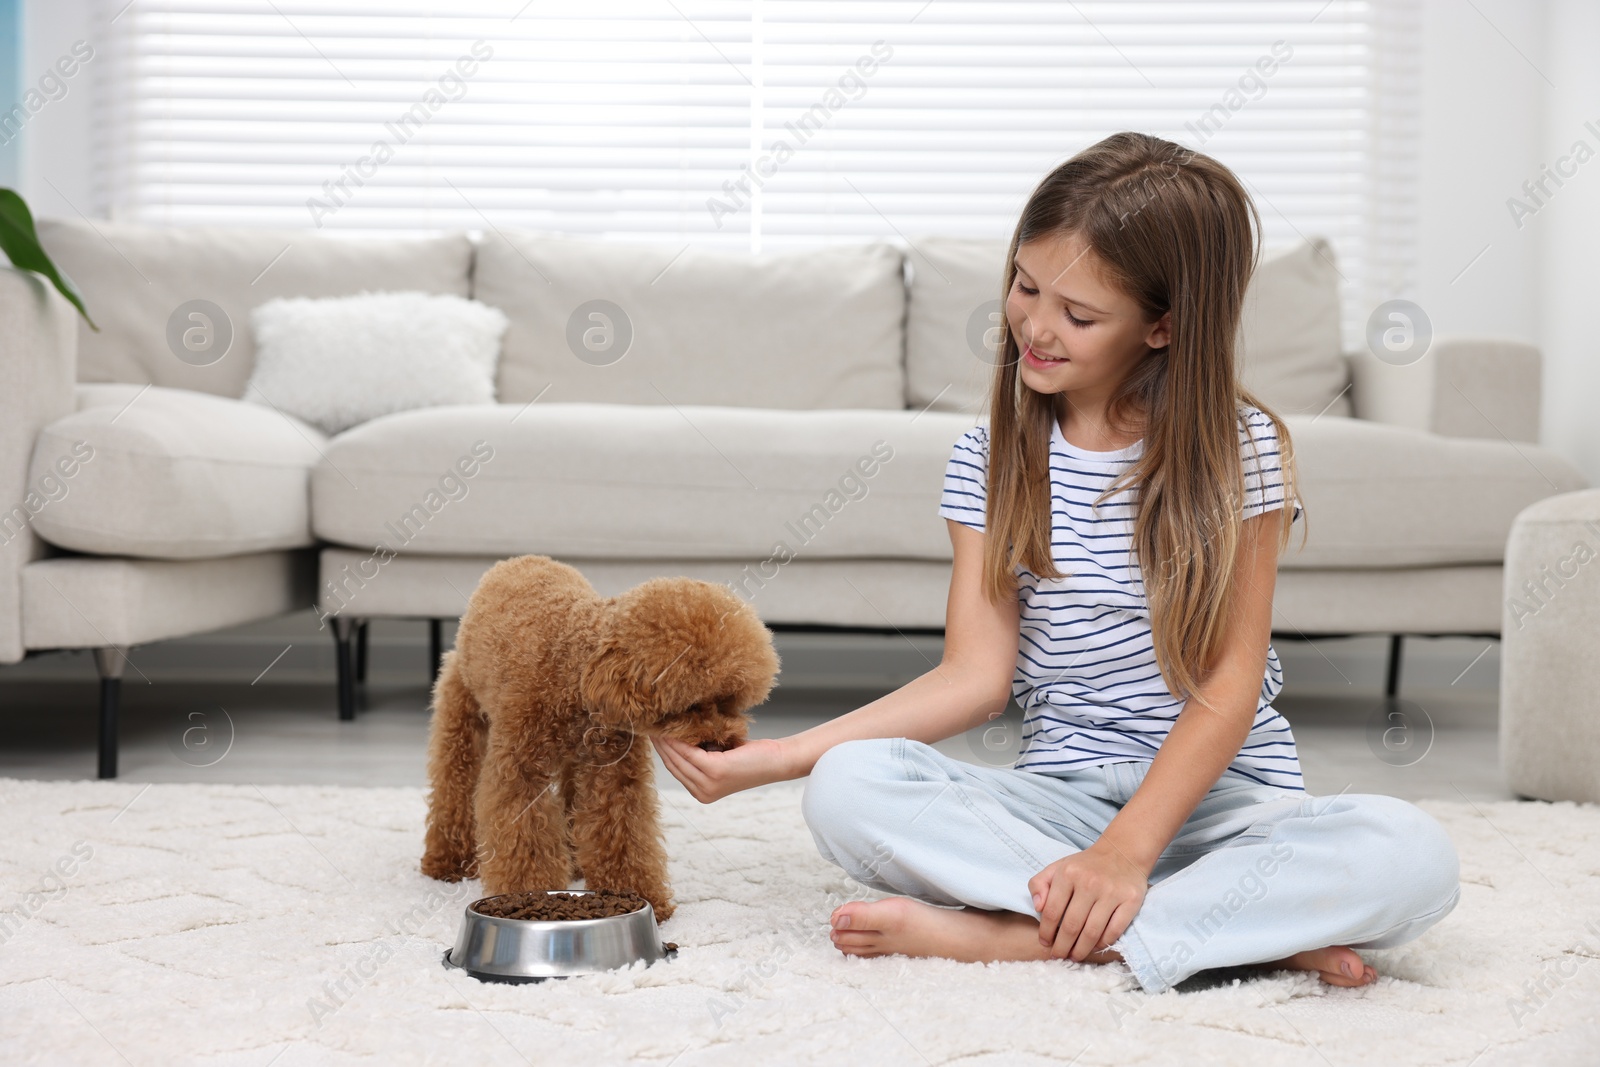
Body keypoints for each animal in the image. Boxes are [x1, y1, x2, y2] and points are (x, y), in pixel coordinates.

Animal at [422, 556, 777, 921]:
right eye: (690, 707)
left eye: (729, 703)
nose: (719, 745)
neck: (575, 670)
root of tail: (519, 560)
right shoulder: (519, 771)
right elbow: (524, 837)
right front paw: (529, 897)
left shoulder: (614, 772)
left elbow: (621, 832)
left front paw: (641, 897)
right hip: (460, 710)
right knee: (454, 784)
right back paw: (450, 861)